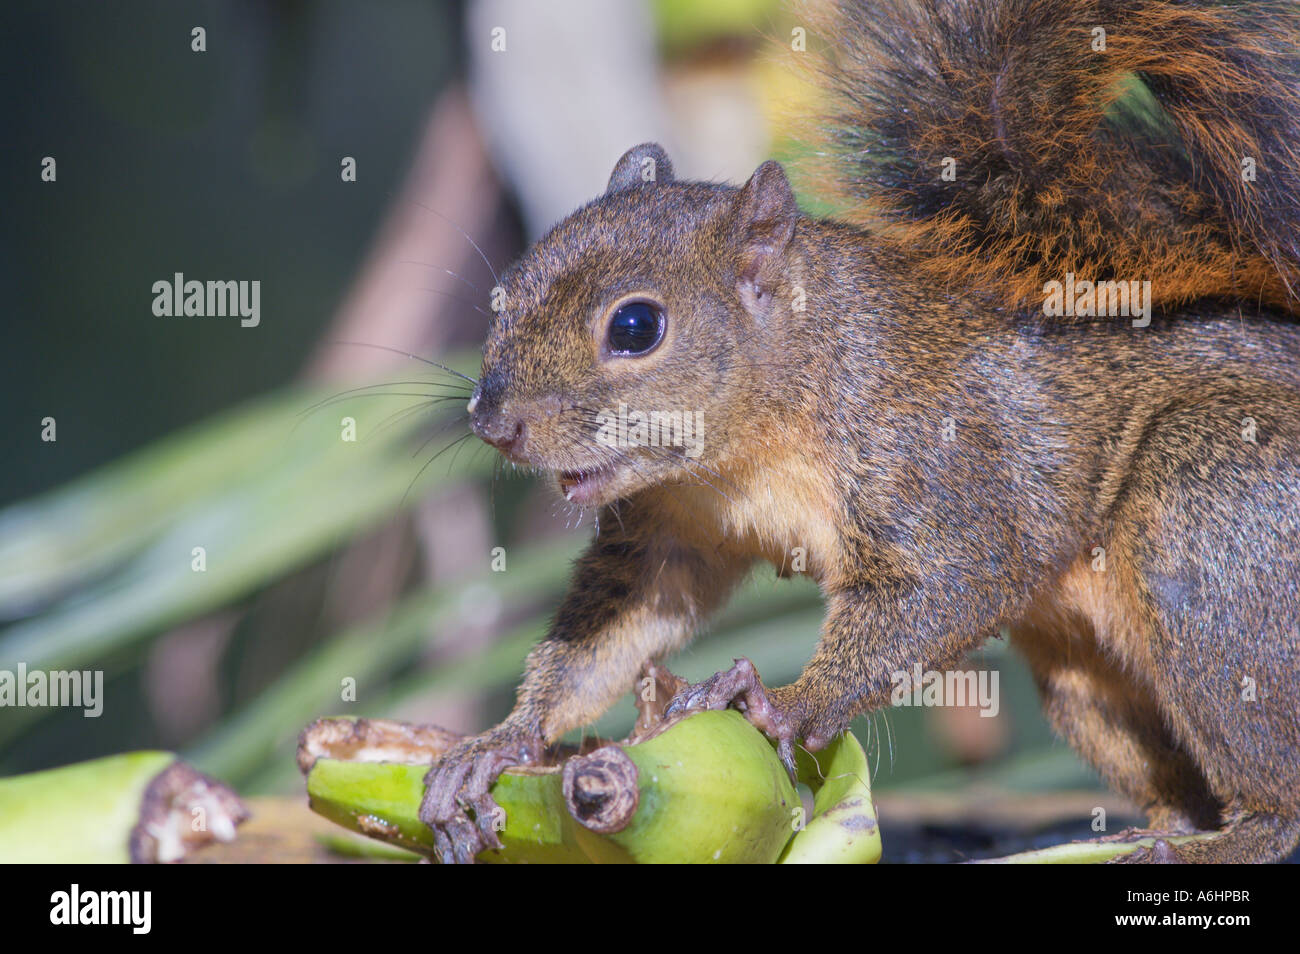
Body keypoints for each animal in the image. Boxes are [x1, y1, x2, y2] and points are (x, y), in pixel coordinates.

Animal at [416, 0, 1300, 868]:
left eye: (636, 327)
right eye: (509, 288)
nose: (493, 423)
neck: (748, 447)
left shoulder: (940, 462)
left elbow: (947, 585)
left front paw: (779, 701)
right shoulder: (670, 531)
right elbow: (611, 631)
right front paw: (498, 742)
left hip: (1214, 524)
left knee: (1276, 796)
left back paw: (1223, 842)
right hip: (1089, 681)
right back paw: (1147, 833)